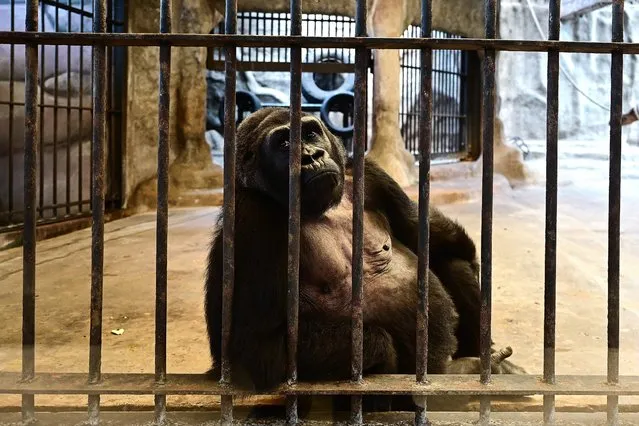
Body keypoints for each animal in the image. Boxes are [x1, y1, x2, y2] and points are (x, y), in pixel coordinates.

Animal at [205, 108, 524, 414]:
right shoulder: (250, 217)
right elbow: (257, 347)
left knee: (451, 262)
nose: (311, 156)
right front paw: (382, 356)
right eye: (284, 144)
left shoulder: (369, 174)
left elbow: (426, 235)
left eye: (310, 133)